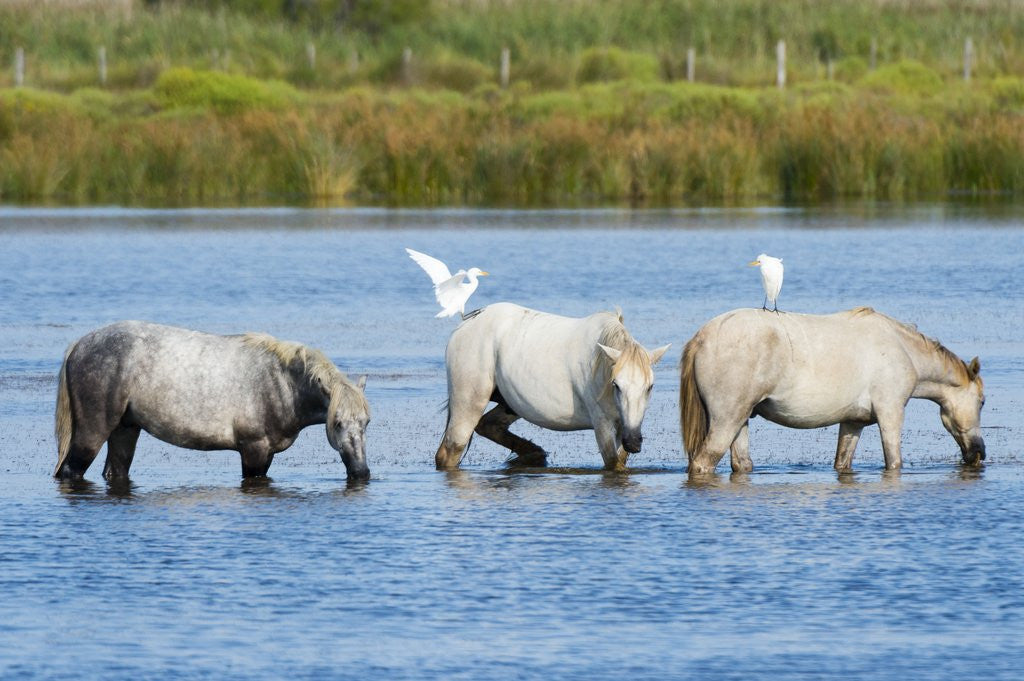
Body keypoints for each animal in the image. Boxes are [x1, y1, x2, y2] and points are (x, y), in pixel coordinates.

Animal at [54, 321, 371, 481]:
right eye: (337, 423)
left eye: (366, 423)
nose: (361, 472)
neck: (281, 381)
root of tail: (79, 344)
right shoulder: (253, 450)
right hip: (92, 433)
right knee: (71, 471)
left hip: (125, 429)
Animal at [435, 303, 671, 471]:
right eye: (617, 385)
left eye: (650, 387)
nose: (634, 442)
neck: (601, 367)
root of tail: (466, 324)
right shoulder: (602, 424)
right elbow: (613, 464)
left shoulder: (624, 425)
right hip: (468, 402)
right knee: (450, 450)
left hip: (511, 404)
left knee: (489, 425)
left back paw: (534, 455)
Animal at [679, 307, 986, 475]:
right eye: (982, 402)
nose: (979, 453)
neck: (904, 350)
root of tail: (702, 337)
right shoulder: (891, 413)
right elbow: (894, 461)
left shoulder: (853, 422)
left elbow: (842, 463)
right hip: (727, 420)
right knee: (703, 462)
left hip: (741, 420)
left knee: (741, 464)